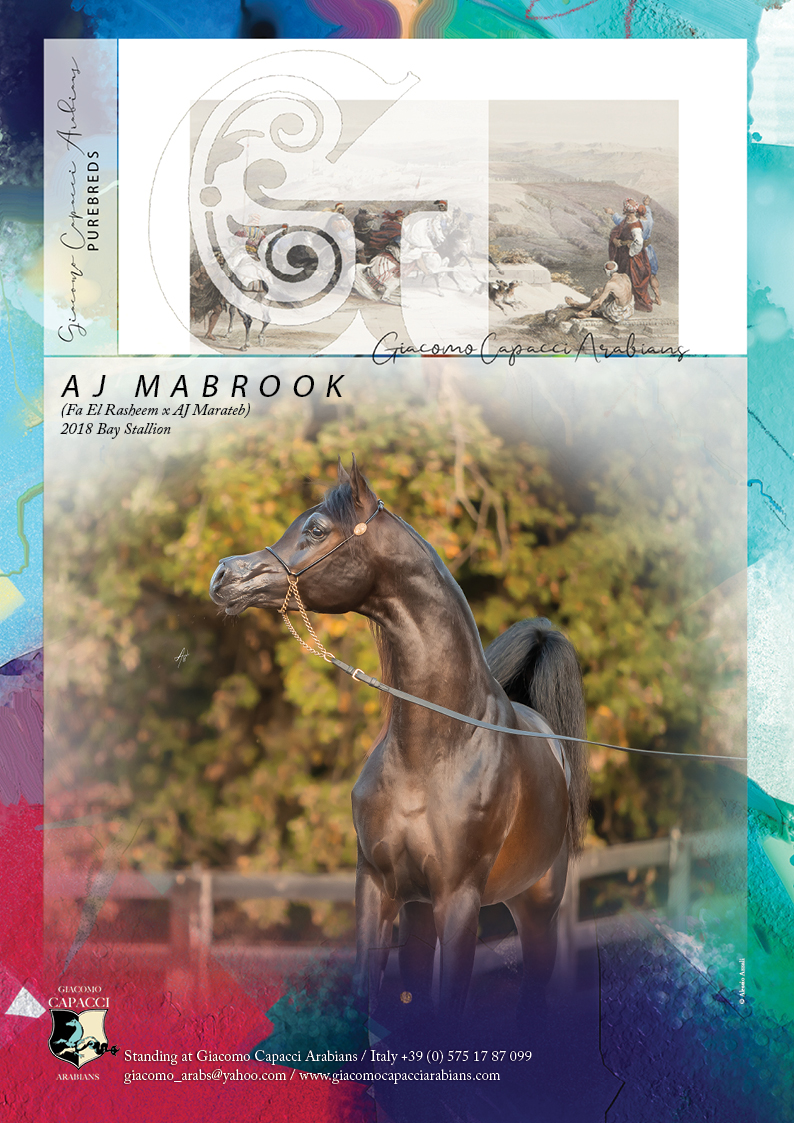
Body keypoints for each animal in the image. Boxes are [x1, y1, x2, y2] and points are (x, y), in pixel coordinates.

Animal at [209, 458, 589, 1024]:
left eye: (316, 529)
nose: (225, 575)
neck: (433, 752)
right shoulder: (379, 889)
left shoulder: (458, 901)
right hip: (420, 915)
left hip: (536, 910)